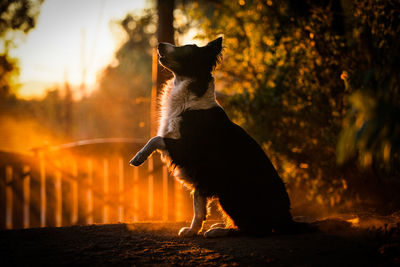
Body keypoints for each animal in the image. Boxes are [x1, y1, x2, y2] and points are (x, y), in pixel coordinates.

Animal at [130, 36, 296, 238]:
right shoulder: (200, 175)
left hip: (231, 192)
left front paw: (139, 157)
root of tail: (285, 217)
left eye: (186, 49)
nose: (160, 44)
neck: (191, 99)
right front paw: (192, 230)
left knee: (256, 229)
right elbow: (199, 207)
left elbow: (156, 139)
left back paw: (219, 231)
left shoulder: (187, 150)